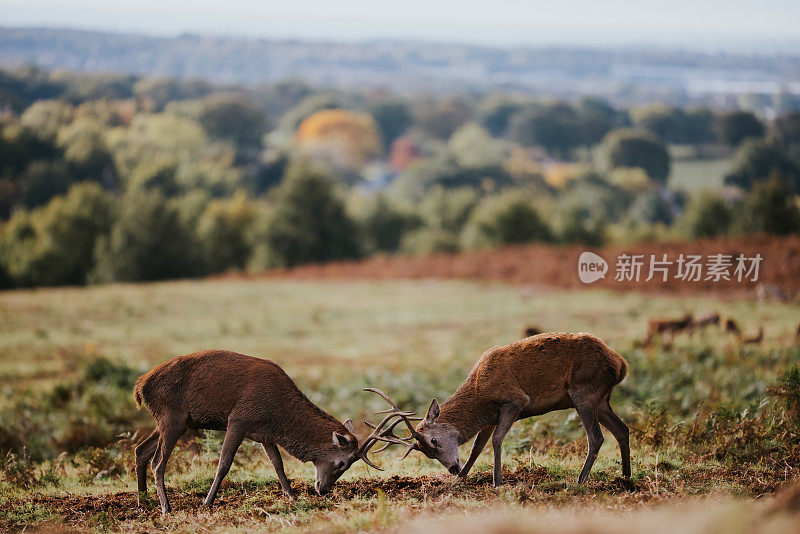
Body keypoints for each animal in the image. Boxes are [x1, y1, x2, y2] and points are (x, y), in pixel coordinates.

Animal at [134, 352, 410, 516]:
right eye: (342, 462)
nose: (322, 490)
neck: (278, 416)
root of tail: (140, 386)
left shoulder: (265, 434)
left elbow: (278, 465)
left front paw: (292, 496)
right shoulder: (239, 419)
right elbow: (224, 463)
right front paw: (207, 502)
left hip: (175, 421)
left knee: (140, 450)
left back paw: (143, 501)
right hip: (172, 416)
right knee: (158, 462)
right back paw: (166, 508)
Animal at [368, 336, 632, 490]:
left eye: (433, 441)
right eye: (427, 454)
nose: (452, 469)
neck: (480, 398)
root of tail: (621, 365)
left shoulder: (515, 400)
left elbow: (496, 440)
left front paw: (497, 481)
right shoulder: (489, 419)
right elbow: (476, 448)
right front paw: (461, 478)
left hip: (584, 390)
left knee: (596, 437)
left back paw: (580, 481)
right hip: (601, 399)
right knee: (622, 429)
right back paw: (626, 479)